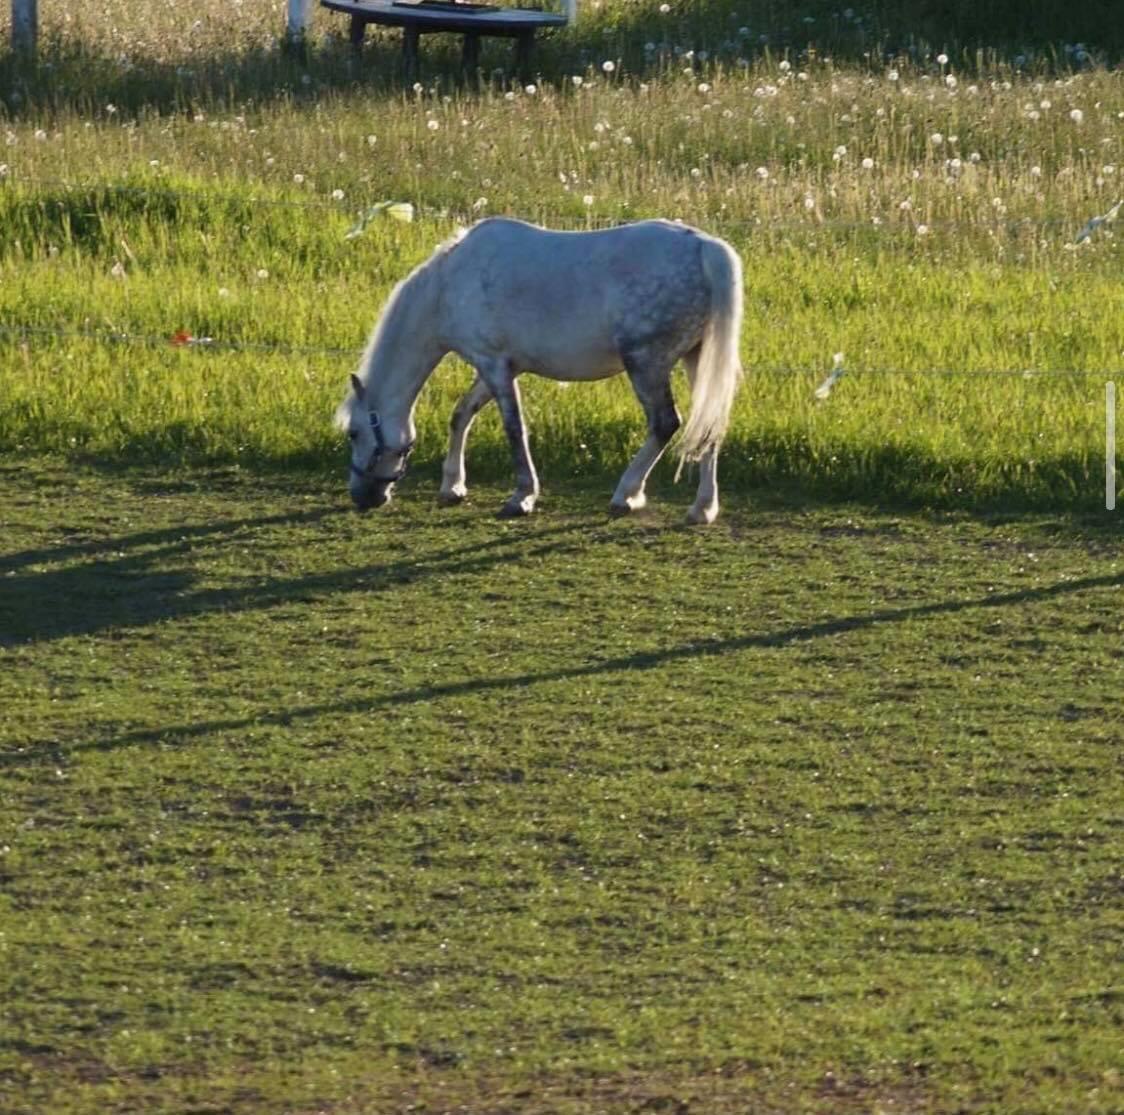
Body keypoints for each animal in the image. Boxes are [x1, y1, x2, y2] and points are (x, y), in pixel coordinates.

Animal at [334, 222, 737, 526]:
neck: (448, 286)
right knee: (708, 426)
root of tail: (704, 247)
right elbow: (461, 415)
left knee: (665, 423)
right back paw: (702, 508)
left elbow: (514, 429)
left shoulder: (494, 365)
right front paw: (453, 487)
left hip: (646, 365)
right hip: (695, 360)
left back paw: (627, 495)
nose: (363, 496)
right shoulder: (496, 366)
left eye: (354, 433)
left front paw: (522, 497)